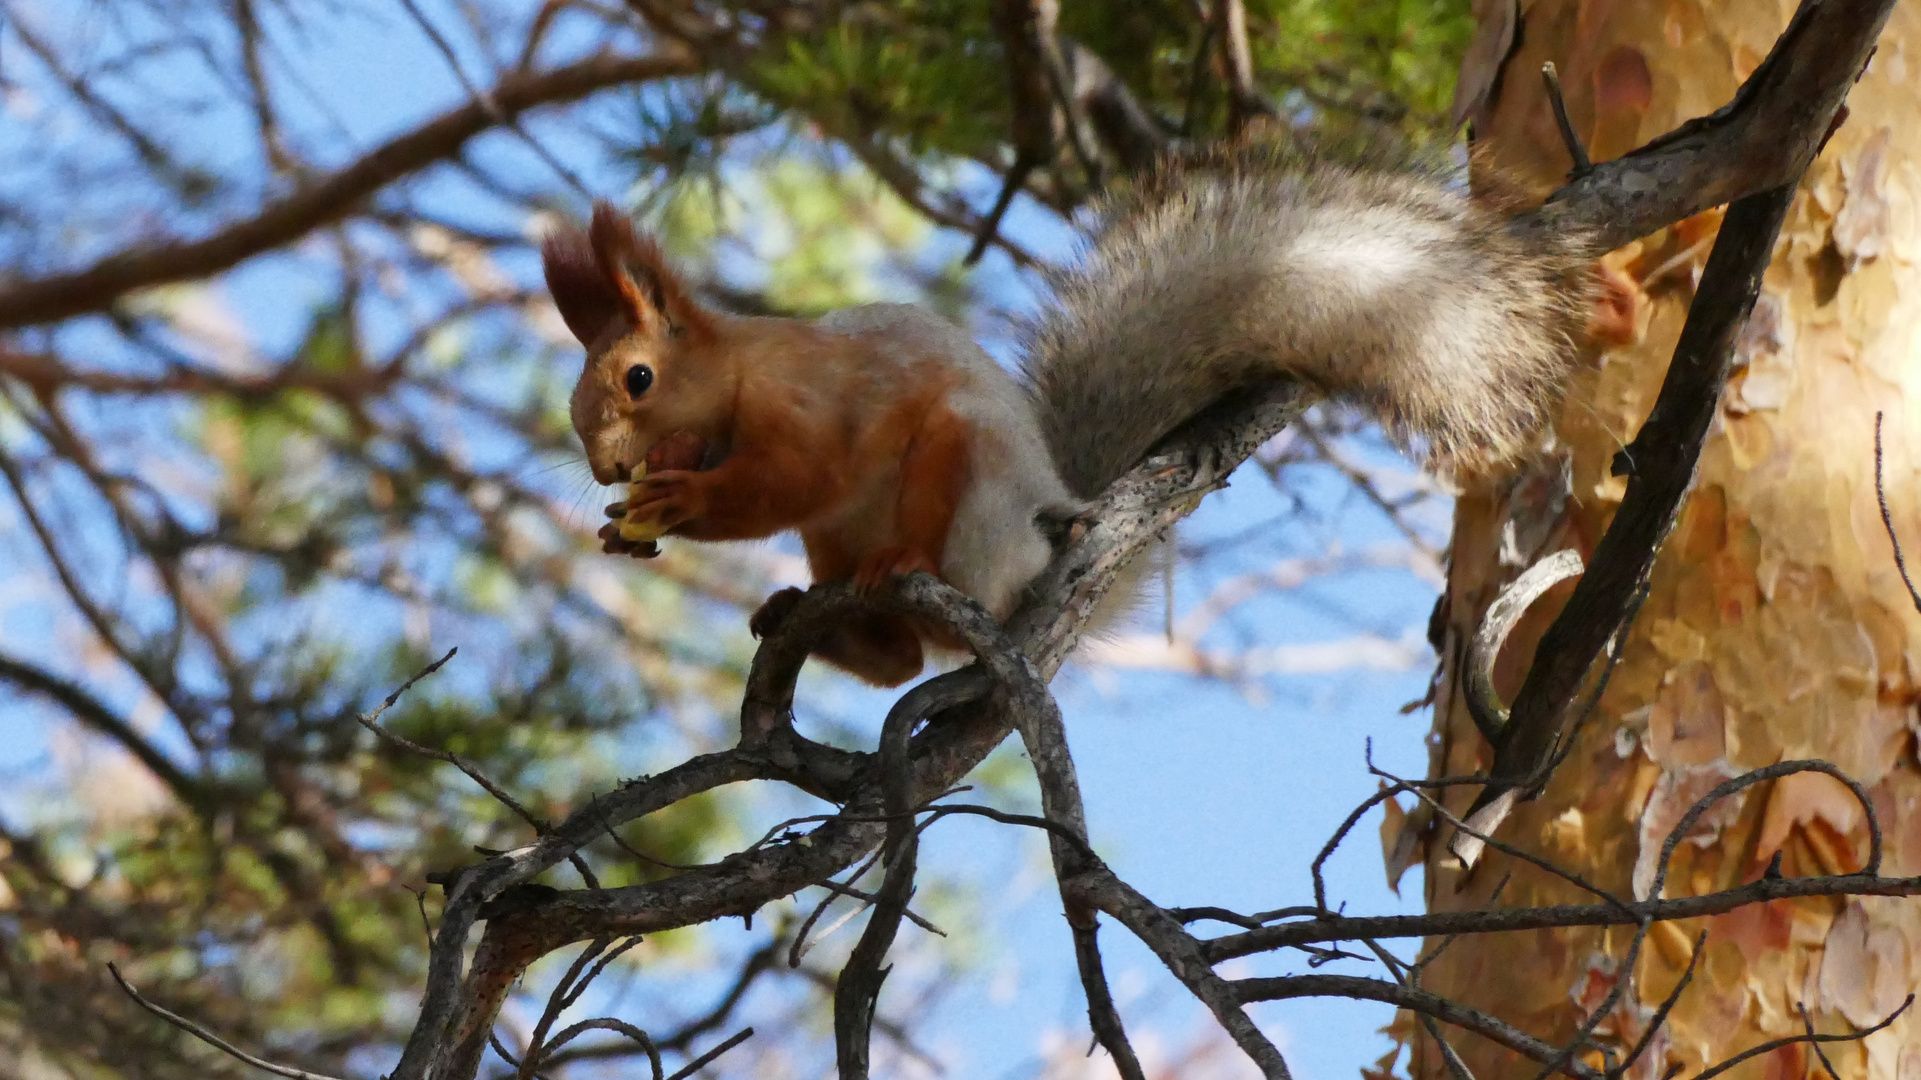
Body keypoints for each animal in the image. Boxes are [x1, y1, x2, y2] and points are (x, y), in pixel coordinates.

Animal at [541, 143, 1590, 684]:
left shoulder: (808, 405)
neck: (733, 381)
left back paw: (899, 570)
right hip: (836, 543)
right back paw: (808, 615)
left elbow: (795, 479)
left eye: (636, 378)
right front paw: (628, 522)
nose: (605, 470)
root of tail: (1057, 527)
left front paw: (679, 503)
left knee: (934, 587)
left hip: (964, 484)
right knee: (896, 663)